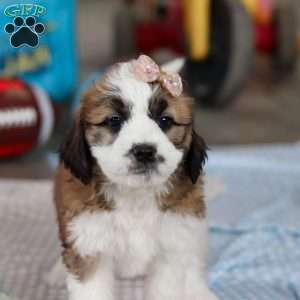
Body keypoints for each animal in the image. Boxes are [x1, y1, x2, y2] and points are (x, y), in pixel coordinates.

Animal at [54, 54, 218, 300]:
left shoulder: (171, 247)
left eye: (165, 121)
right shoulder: (90, 245)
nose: (144, 151)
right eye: (114, 120)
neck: (135, 196)